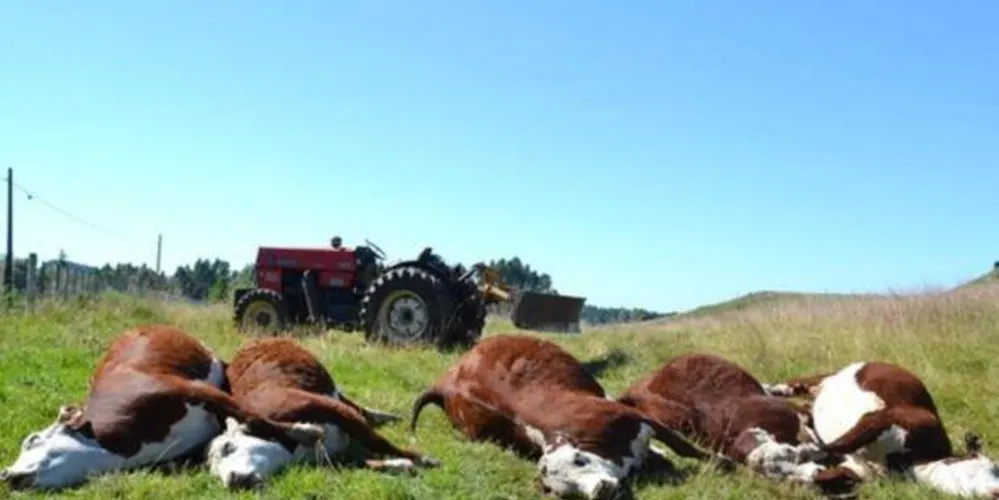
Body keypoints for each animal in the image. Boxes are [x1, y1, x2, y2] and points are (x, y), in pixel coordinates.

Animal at [205, 337, 439, 490]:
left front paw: (423, 458)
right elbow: (361, 463)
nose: (232, 481)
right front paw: (400, 465)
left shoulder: (330, 408)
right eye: (215, 475)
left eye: (227, 447)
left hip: (333, 392)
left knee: (358, 408)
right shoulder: (335, 456)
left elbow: (378, 442)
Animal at [409, 334, 728, 500]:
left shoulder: (636, 416)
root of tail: (448, 379)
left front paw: (722, 462)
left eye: (579, 461)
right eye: (566, 489)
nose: (600, 490)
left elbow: (685, 447)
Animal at [777, 360, 999, 498]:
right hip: (827, 378)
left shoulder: (859, 470)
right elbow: (838, 443)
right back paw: (775, 389)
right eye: (996, 469)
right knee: (796, 384)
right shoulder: (892, 416)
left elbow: (825, 474)